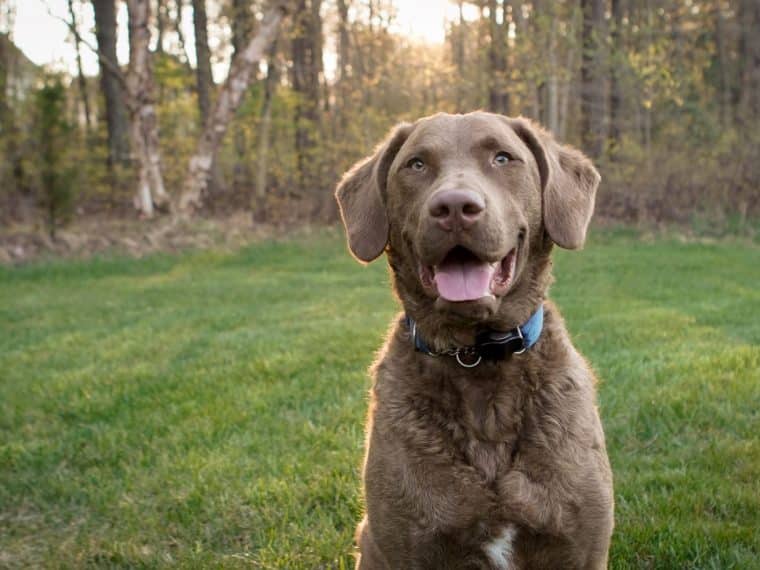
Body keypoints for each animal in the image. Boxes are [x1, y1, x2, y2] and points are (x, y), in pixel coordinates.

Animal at [336, 112, 616, 568]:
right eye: (416, 164)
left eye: (502, 157)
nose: (454, 207)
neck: (478, 359)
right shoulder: (407, 545)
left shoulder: (581, 547)